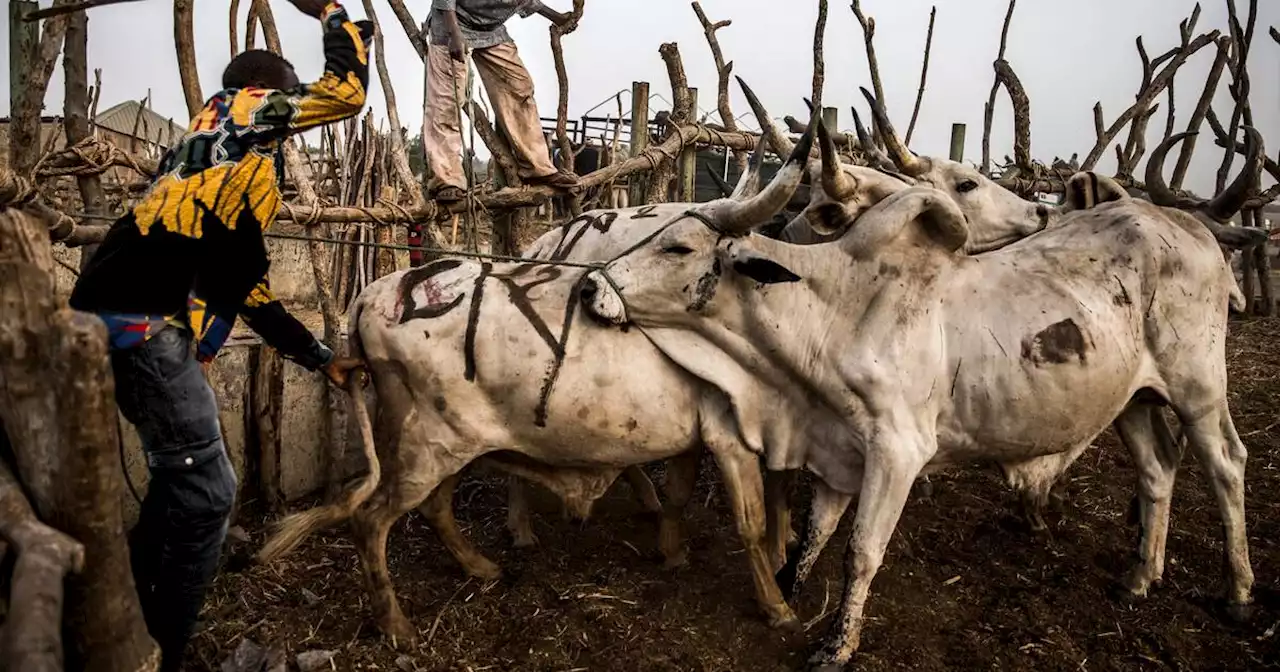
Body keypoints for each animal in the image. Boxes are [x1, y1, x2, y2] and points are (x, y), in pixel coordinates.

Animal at [583, 121, 1269, 670]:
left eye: (677, 246)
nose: (591, 287)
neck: (836, 309)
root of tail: (1184, 223)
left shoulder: (897, 452)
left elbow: (861, 550)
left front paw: (837, 646)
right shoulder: (838, 450)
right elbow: (814, 535)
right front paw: (786, 589)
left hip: (1198, 387)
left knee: (1226, 464)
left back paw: (1237, 593)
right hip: (1133, 399)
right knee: (1159, 470)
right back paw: (1139, 577)